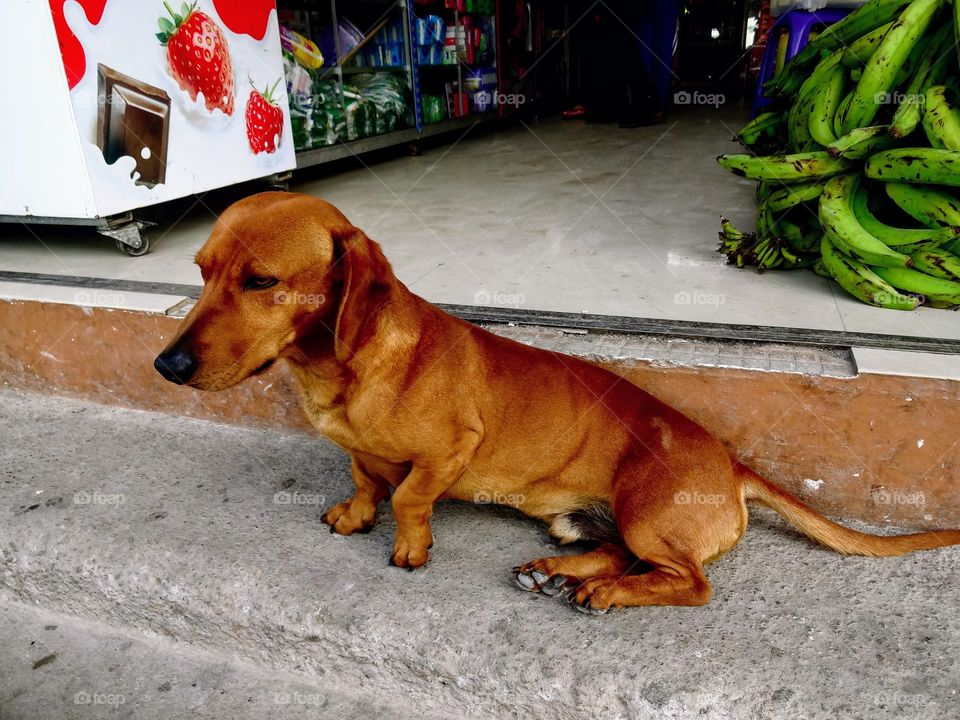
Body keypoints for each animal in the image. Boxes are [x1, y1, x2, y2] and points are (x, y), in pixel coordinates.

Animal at [156, 193, 960, 612]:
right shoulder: (358, 453)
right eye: (201, 271)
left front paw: (408, 545)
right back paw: (560, 573)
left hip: (646, 515)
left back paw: (604, 595)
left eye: (261, 281)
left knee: (690, 584)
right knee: (620, 556)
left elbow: (410, 496)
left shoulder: (449, 452)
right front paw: (355, 513)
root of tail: (734, 469)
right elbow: (362, 477)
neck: (338, 371)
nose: (165, 364)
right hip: (595, 525)